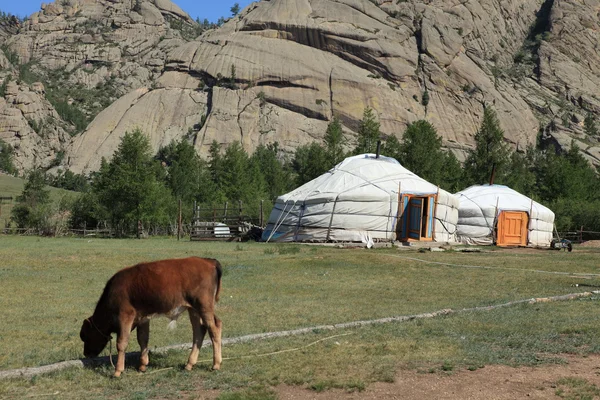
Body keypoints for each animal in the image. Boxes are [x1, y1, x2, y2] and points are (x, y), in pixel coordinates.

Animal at [78, 258, 221, 376]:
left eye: (84, 335)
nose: (86, 354)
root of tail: (208, 261)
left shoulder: (125, 315)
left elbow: (122, 343)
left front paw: (118, 370)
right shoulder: (142, 318)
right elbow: (142, 339)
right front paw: (142, 365)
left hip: (203, 306)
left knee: (214, 328)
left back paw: (216, 364)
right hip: (193, 309)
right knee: (199, 331)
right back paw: (189, 364)